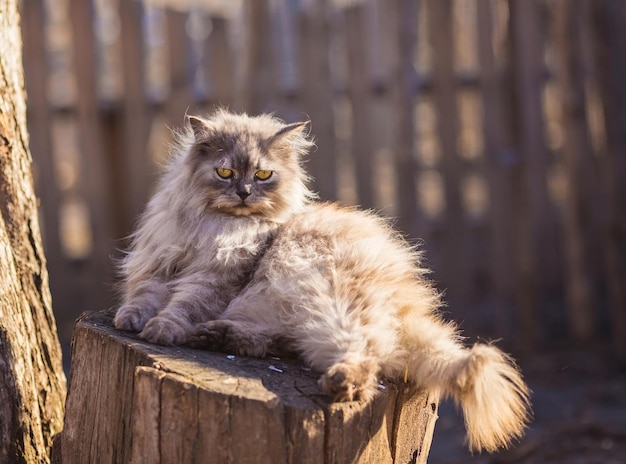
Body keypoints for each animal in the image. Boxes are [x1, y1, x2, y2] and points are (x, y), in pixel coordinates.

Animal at [113, 109, 528, 454]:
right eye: (225, 173)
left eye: (263, 175)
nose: (244, 193)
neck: (213, 227)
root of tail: (408, 306)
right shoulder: (160, 266)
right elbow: (143, 297)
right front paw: (130, 320)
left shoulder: (215, 280)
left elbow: (181, 307)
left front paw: (161, 329)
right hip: (300, 323)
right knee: (277, 343)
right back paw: (217, 336)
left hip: (332, 306)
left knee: (368, 360)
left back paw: (339, 381)